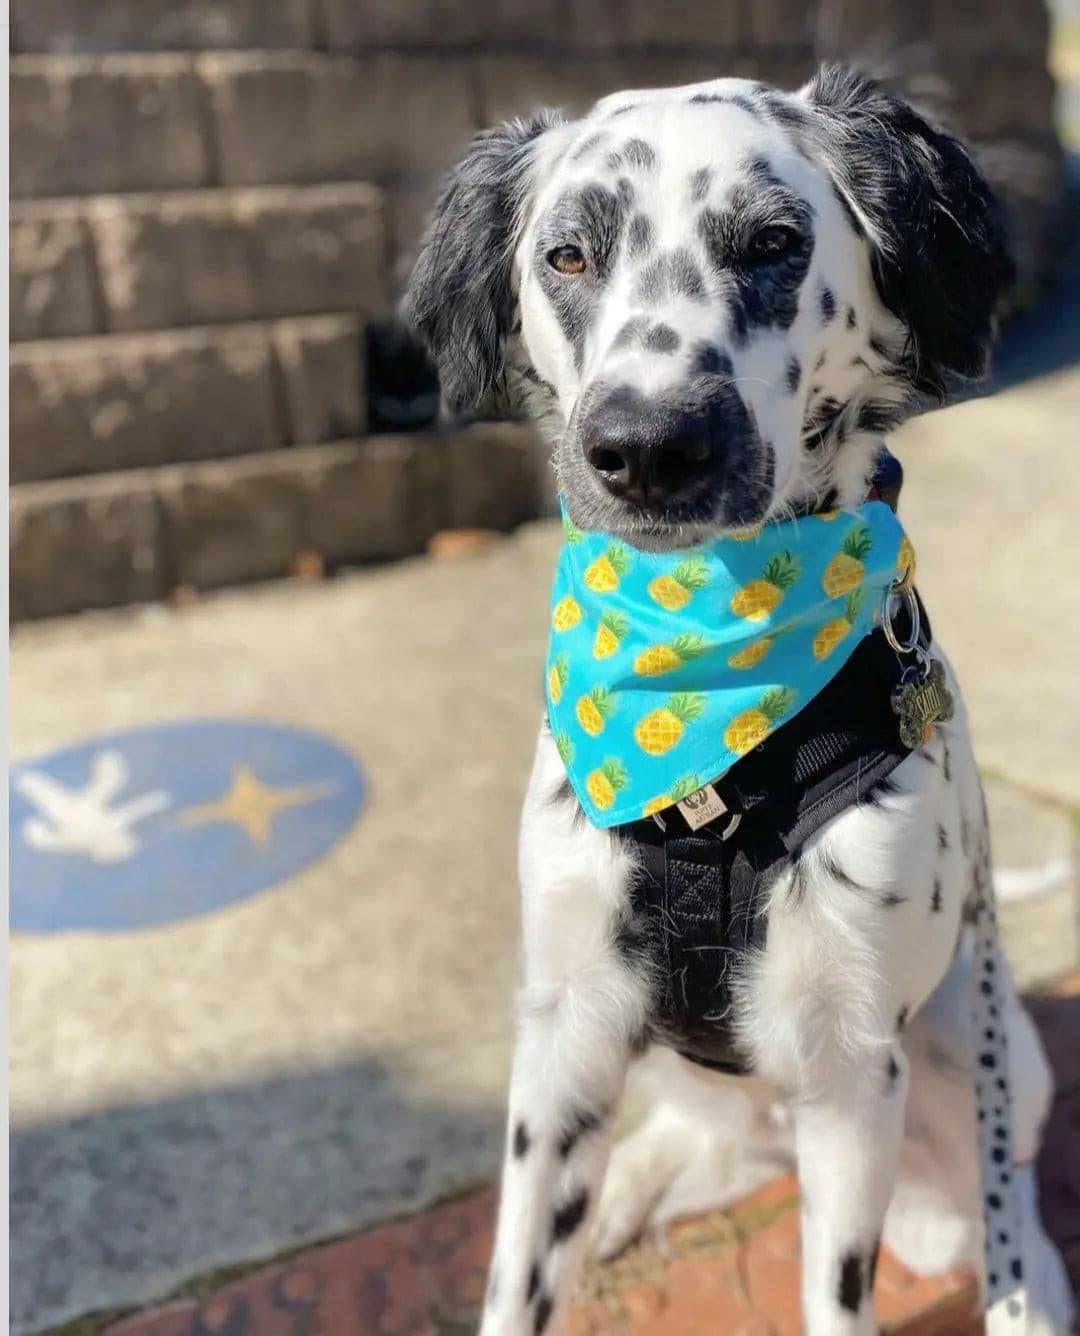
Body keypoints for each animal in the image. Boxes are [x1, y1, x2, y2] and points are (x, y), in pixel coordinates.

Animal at [403, 65, 1069, 1336]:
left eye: (771, 242)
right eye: (568, 254)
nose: (646, 446)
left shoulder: (854, 1065)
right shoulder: (562, 1036)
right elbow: (515, 1281)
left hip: (974, 1044)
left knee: (1000, 1188)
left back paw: (1027, 1288)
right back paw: (627, 1195)